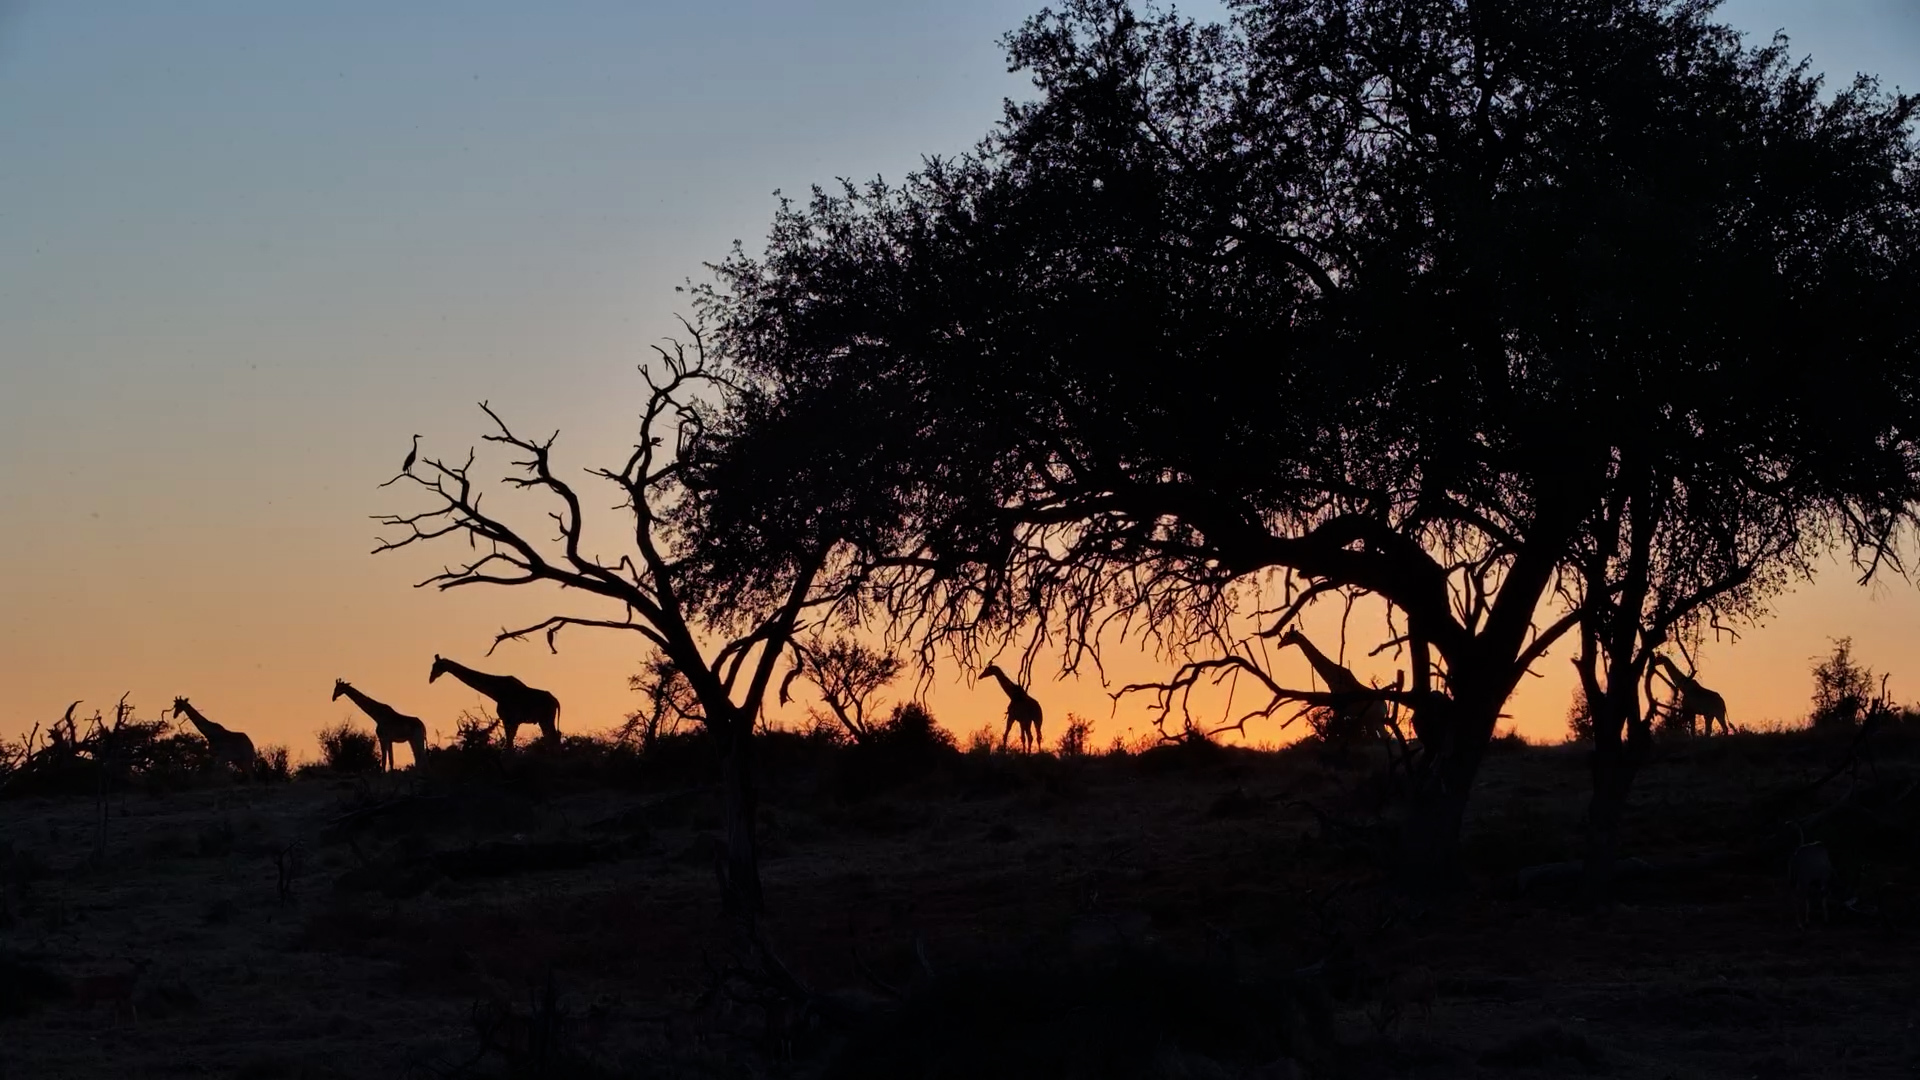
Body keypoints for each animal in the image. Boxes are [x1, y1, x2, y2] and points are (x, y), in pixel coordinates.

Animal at [427, 656, 561, 748]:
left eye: (437, 666)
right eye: (432, 665)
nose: (430, 679)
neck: (496, 692)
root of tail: (556, 702)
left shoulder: (509, 719)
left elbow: (509, 745)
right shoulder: (512, 721)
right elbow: (509, 744)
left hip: (546, 719)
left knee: (553, 738)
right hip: (544, 720)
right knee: (553, 738)